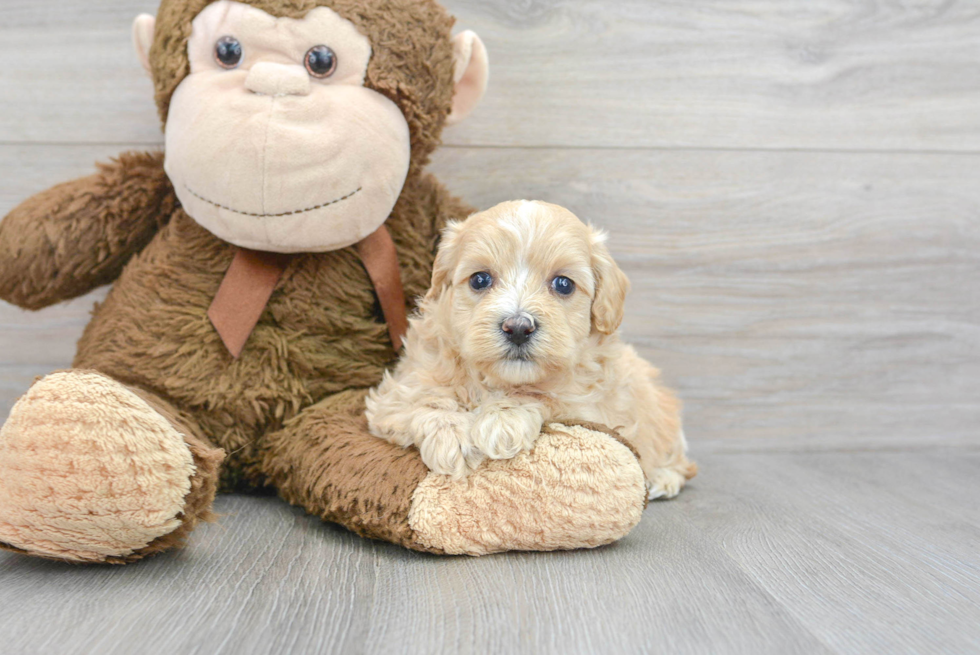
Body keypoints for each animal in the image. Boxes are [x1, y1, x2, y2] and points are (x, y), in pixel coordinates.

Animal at [368, 202, 696, 500]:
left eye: (563, 284)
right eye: (479, 279)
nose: (517, 327)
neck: (496, 379)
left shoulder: (590, 407)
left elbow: (541, 394)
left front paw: (502, 420)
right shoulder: (396, 393)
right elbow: (424, 398)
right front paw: (451, 436)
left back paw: (663, 478)